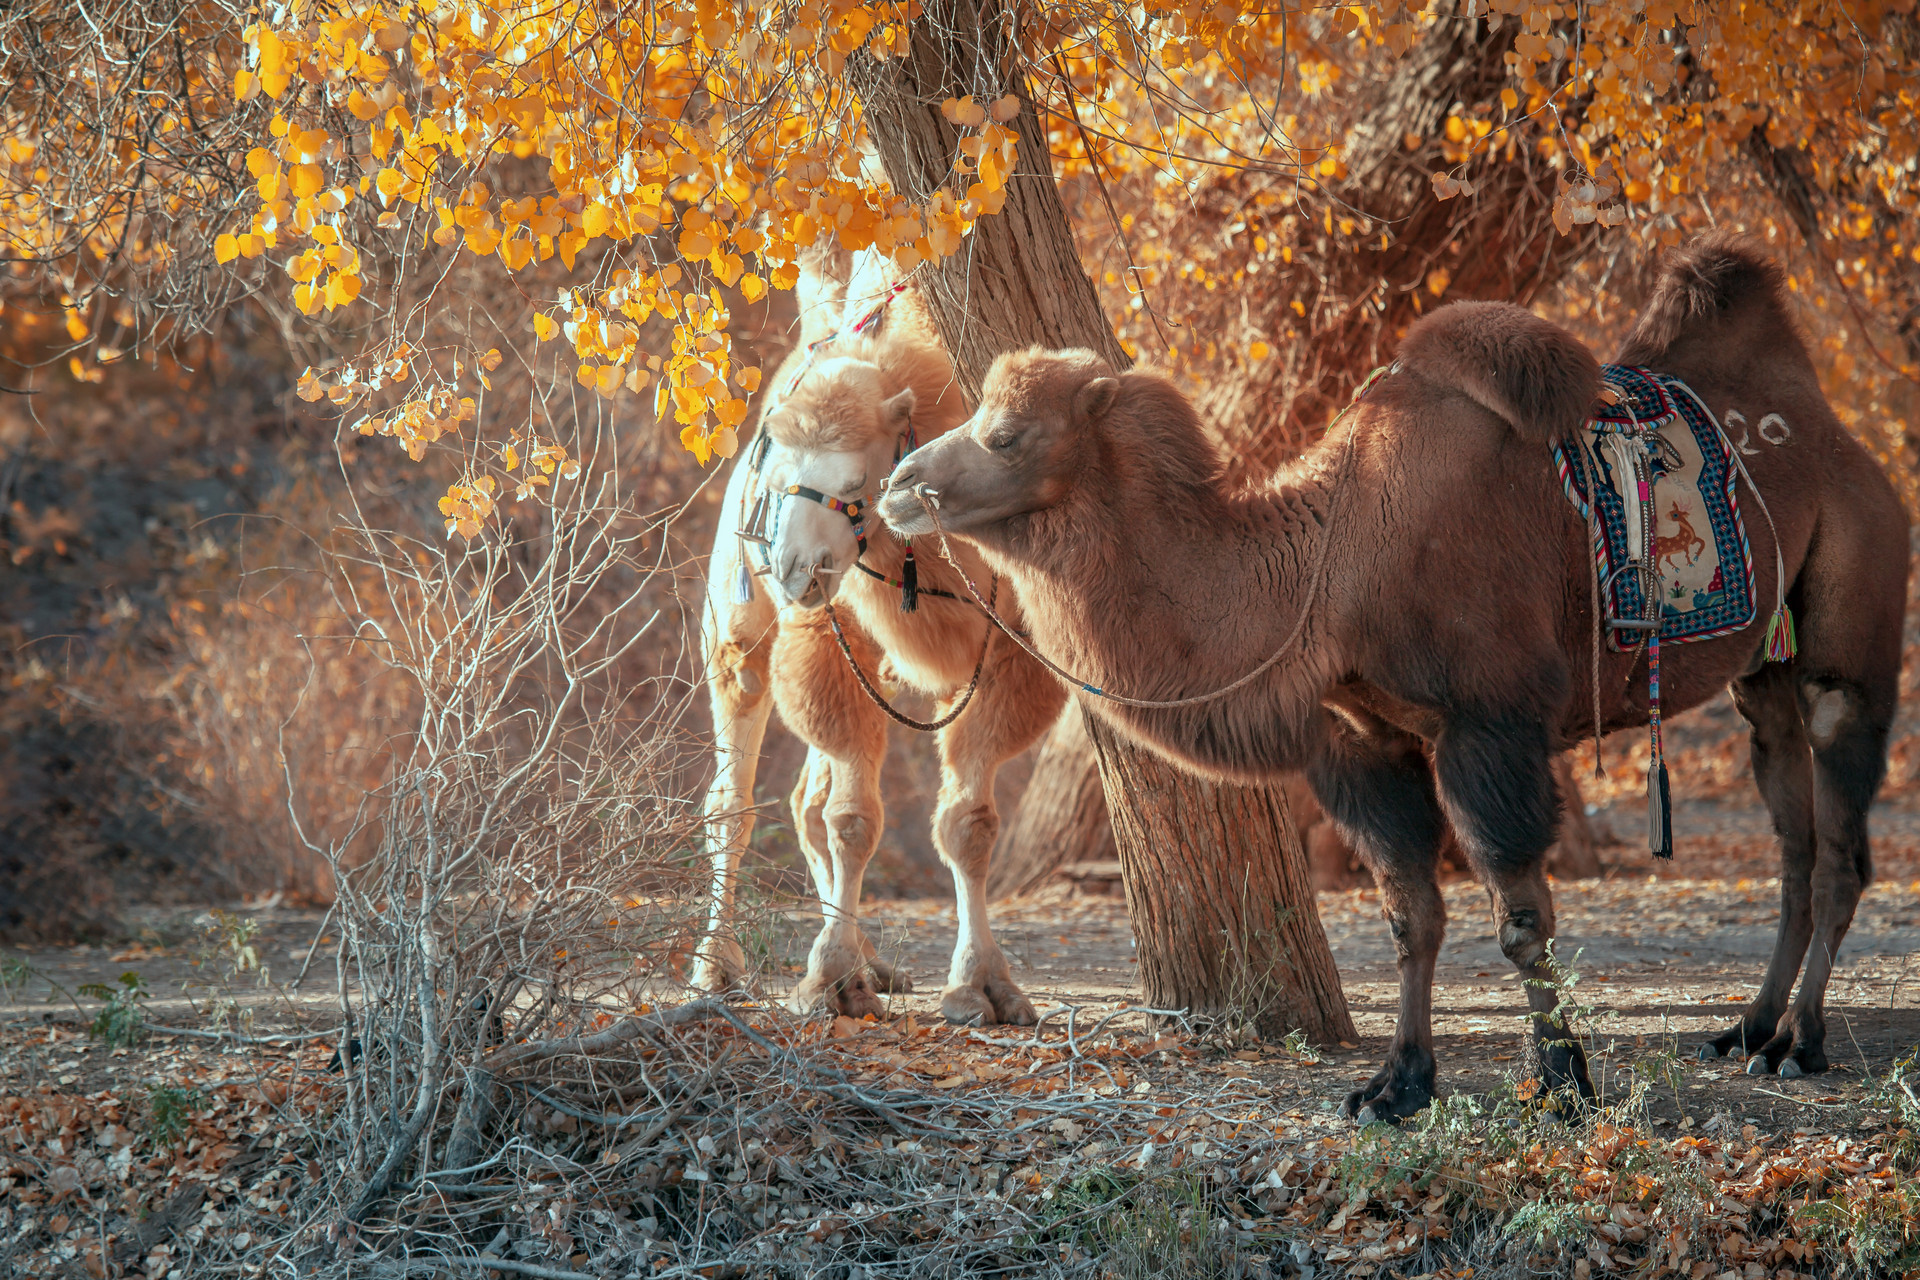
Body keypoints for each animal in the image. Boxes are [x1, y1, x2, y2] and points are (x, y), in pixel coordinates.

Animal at [691, 255, 1059, 1028]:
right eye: (777, 478)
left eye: (858, 477)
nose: (794, 568)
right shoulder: (829, 635)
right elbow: (854, 819)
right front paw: (831, 980)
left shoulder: (1012, 646)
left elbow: (968, 823)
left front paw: (983, 986)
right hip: (738, 635)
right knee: (732, 802)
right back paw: (718, 967)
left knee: (805, 798)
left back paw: (874, 960)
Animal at [883, 233, 1904, 1120]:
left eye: (1006, 434)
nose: (898, 484)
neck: (1334, 564)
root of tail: (1841, 439)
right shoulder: (1364, 737)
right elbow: (1411, 914)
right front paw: (1398, 1084)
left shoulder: (1489, 724)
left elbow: (1521, 915)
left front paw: (1562, 1082)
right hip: (1762, 671)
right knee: (1793, 837)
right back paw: (1750, 1028)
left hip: (1852, 628)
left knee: (1842, 838)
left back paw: (1803, 1041)